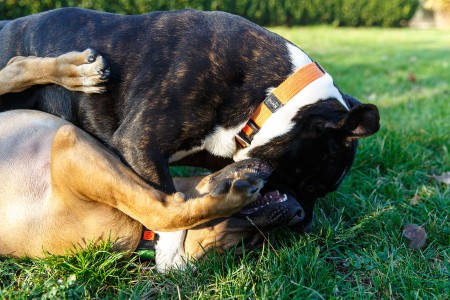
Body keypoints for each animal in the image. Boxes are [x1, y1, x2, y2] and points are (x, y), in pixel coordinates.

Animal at [0, 50, 302, 270]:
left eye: (250, 247)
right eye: (242, 245)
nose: (298, 211)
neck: (142, 235)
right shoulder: (70, 144)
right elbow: (163, 212)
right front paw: (230, 199)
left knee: (14, 68)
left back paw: (70, 70)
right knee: (11, 71)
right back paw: (75, 72)